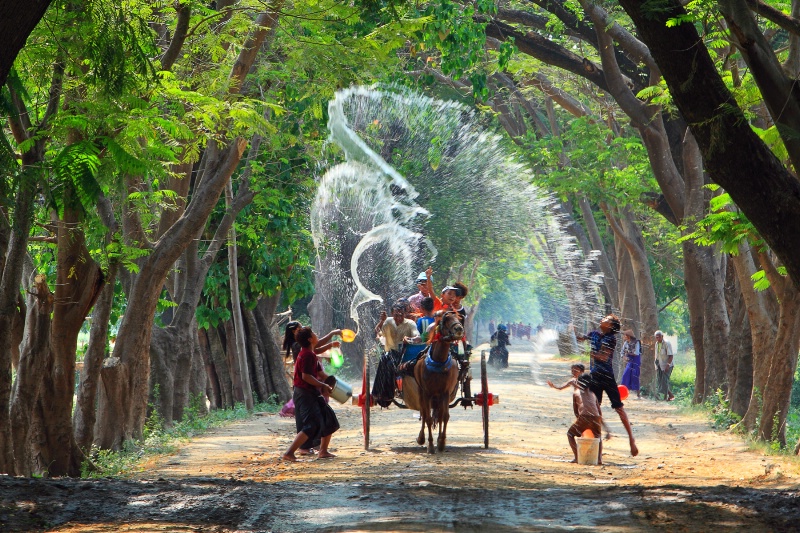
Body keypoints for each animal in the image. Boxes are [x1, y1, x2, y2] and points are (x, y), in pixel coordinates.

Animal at [412, 308, 462, 454]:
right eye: (446, 320)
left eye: (459, 318)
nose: (459, 328)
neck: (438, 362)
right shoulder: (426, 393)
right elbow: (428, 418)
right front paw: (430, 445)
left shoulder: (445, 393)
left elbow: (444, 416)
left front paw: (441, 442)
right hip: (422, 393)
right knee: (424, 413)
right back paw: (421, 438)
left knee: (439, 415)